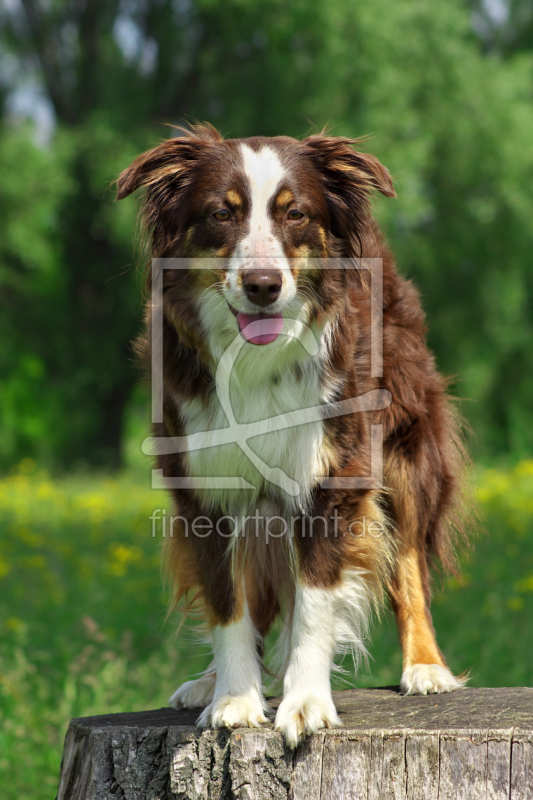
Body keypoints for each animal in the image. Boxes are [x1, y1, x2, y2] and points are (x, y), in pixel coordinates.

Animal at [117, 122, 470, 748]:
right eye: (221, 214)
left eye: (296, 214)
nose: (263, 285)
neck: (255, 359)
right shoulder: (204, 485)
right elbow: (226, 602)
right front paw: (235, 699)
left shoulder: (331, 475)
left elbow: (313, 604)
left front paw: (305, 703)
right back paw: (210, 682)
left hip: (404, 448)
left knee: (407, 559)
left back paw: (426, 667)